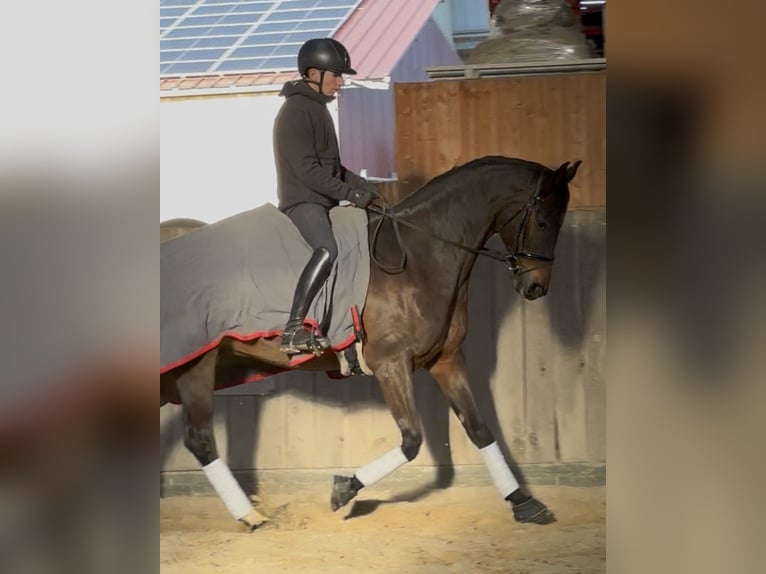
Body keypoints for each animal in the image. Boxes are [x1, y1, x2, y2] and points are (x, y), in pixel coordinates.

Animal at [160, 155, 581, 530]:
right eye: (543, 220)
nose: (536, 287)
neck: (421, 257)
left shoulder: (446, 359)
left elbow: (479, 429)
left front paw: (524, 503)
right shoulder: (390, 363)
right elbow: (411, 440)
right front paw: (344, 490)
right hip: (196, 365)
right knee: (200, 440)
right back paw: (250, 516)